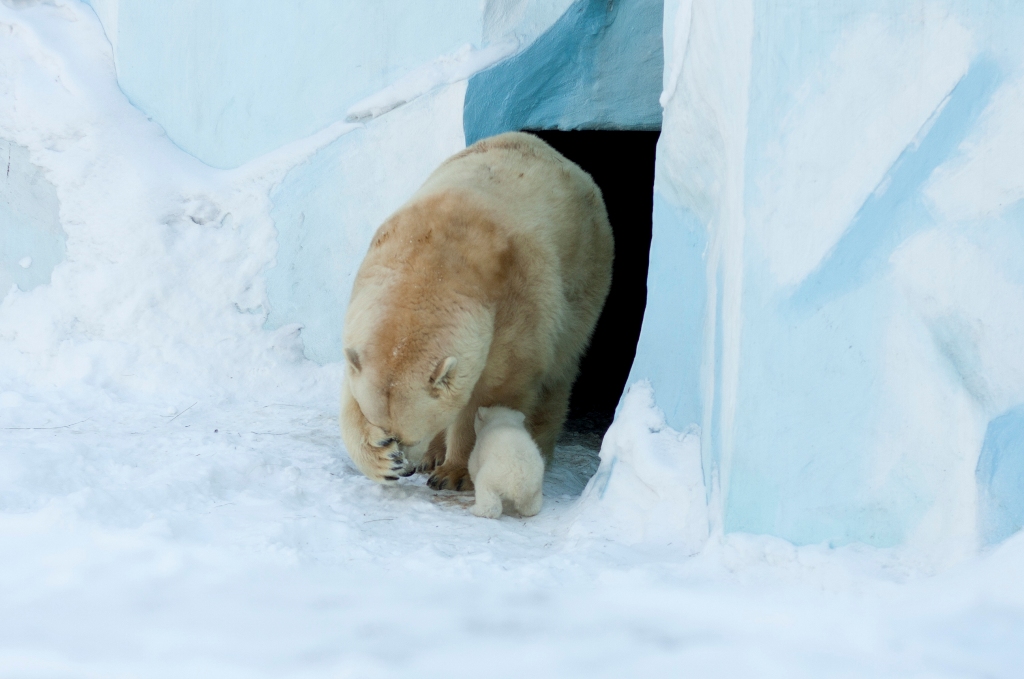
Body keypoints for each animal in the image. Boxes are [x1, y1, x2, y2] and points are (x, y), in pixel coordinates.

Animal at [339, 133, 610, 491]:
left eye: (413, 434)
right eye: (387, 432)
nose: (405, 466)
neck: (431, 264)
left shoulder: (514, 304)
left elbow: (492, 393)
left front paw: (454, 472)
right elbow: (352, 389)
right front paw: (381, 460)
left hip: (585, 272)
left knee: (559, 369)